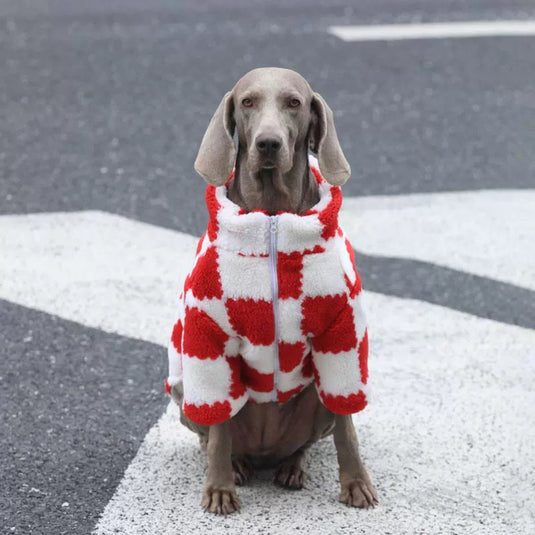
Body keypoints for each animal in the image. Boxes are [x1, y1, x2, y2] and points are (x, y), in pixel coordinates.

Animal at [170, 67, 378, 516]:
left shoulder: (341, 340)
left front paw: (356, 483)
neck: (271, 217)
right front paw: (219, 488)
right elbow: (219, 431)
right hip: (186, 393)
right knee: (212, 436)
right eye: (247, 102)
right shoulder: (210, 341)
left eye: (293, 103)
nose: (268, 143)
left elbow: (348, 429)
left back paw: (291, 467)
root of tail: (265, 454)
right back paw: (237, 466)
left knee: (305, 442)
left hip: (316, 399)